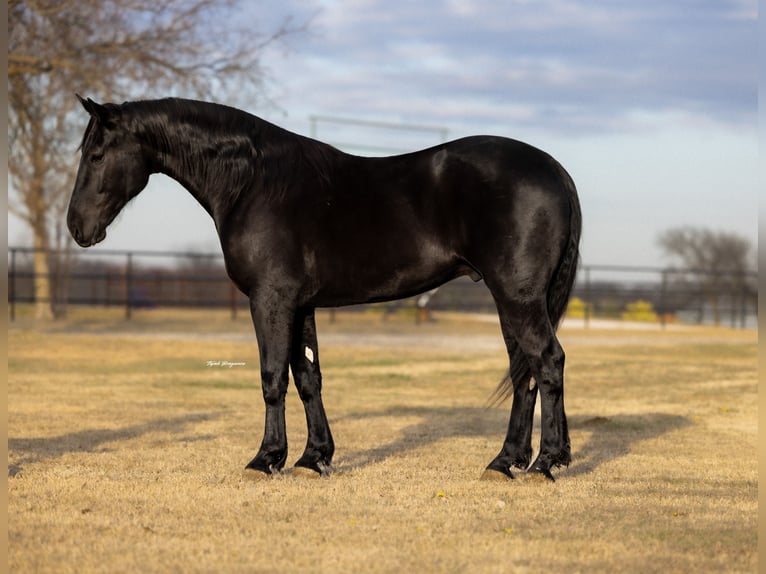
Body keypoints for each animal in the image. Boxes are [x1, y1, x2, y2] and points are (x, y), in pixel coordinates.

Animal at [67, 95, 581, 482]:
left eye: (96, 155)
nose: (76, 227)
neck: (254, 183)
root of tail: (554, 168)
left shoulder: (270, 299)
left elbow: (273, 377)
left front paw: (266, 459)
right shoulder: (301, 305)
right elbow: (308, 377)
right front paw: (313, 458)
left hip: (516, 296)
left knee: (547, 362)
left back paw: (543, 463)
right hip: (511, 299)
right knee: (524, 371)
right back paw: (505, 461)